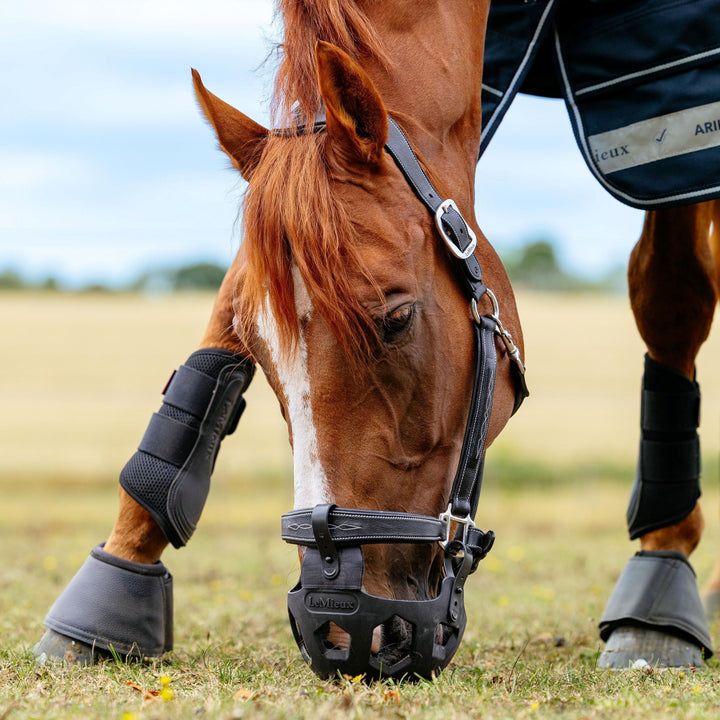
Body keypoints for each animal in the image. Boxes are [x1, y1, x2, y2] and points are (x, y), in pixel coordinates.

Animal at [33, 0, 717, 677]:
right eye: (257, 345)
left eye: (397, 318)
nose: (334, 622)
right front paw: (109, 595)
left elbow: (672, 296)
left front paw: (658, 591)